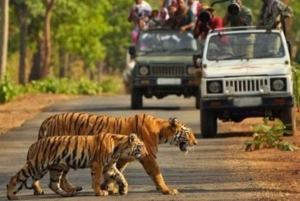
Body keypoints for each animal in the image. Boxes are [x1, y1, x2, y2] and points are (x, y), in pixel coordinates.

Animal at [6, 133, 147, 200]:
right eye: (141, 146)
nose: (146, 154)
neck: (120, 149)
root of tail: (33, 144)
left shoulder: (109, 166)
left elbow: (120, 176)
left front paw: (124, 189)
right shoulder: (98, 164)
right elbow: (96, 180)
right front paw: (100, 192)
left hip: (54, 168)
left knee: (53, 184)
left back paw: (68, 194)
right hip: (36, 165)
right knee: (14, 177)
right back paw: (11, 196)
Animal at [36, 112, 197, 194]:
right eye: (187, 133)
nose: (196, 143)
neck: (161, 131)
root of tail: (49, 118)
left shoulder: (121, 158)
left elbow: (115, 173)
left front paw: (107, 187)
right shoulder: (148, 157)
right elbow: (157, 173)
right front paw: (166, 190)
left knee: (61, 176)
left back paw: (71, 189)